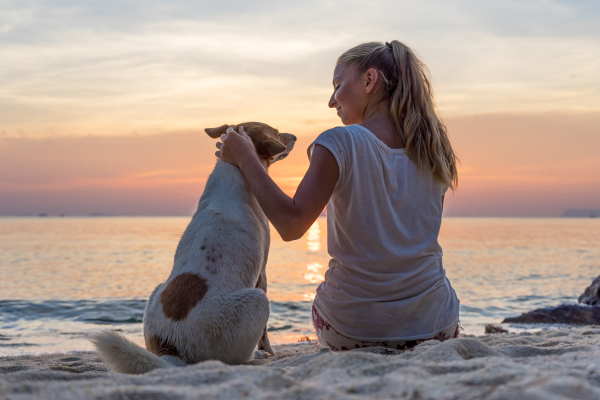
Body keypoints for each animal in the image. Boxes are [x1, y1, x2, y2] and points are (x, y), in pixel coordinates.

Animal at [91, 122, 296, 376]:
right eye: (276, 133)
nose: (295, 136)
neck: (232, 170)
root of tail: (172, 347)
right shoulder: (262, 273)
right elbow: (265, 334)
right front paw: (268, 351)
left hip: (157, 291)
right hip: (256, 300)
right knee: (238, 357)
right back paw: (255, 356)